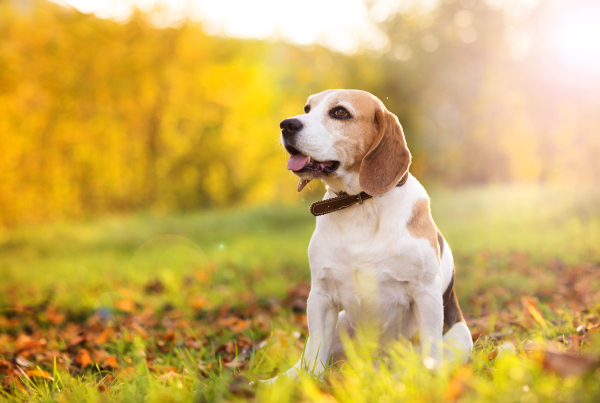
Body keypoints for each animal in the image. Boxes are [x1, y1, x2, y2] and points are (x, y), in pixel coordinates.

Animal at [266, 90, 468, 384]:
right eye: (307, 108)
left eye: (340, 112)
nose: (286, 125)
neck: (359, 204)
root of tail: (373, 363)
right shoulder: (321, 297)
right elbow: (313, 356)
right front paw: (308, 384)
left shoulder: (426, 294)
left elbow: (430, 353)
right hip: (340, 322)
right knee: (305, 360)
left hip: (461, 338)